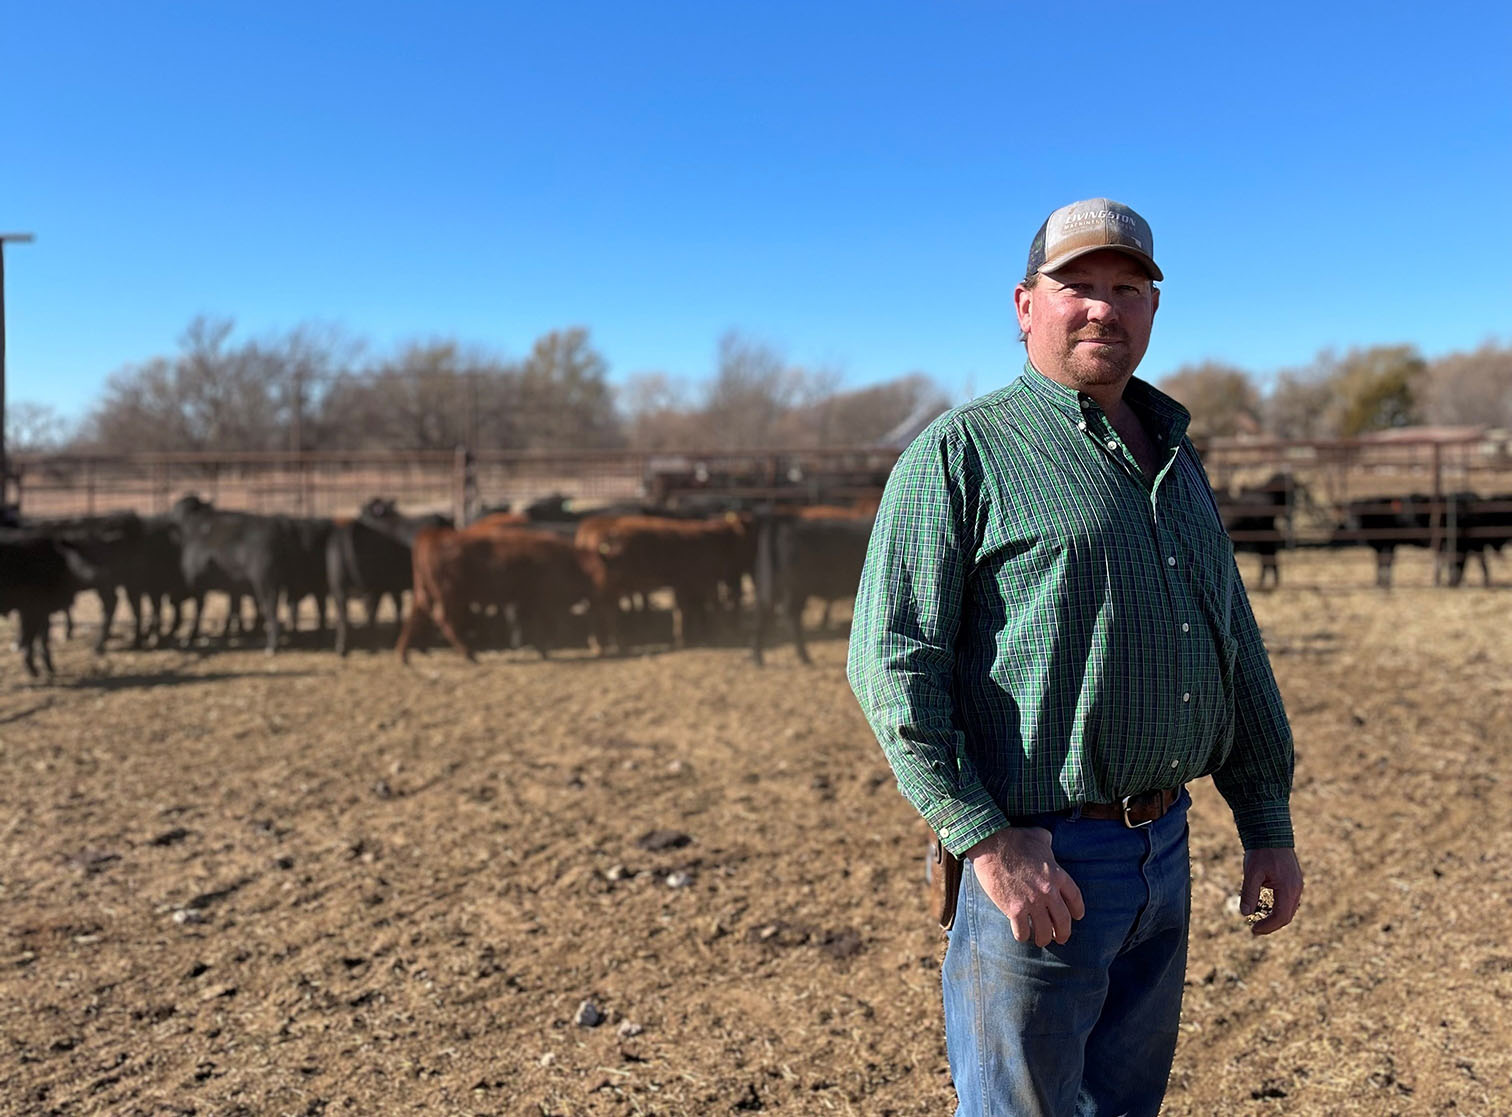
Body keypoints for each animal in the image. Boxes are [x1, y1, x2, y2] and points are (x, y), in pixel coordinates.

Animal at [396, 522, 607, 665]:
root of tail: (432, 535)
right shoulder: (540, 599)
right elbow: (540, 623)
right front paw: (543, 648)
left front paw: (541, 648)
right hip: (450, 595)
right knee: (443, 619)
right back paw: (469, 654)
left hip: (424, 591)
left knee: (416, 615)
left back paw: (403, 654)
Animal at [752, 516, 876, 665]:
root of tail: (782, 525)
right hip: (795, 590)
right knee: (791, 616)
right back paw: (804, 656)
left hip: (769, 588)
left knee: (762, 614)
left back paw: (758, 657)